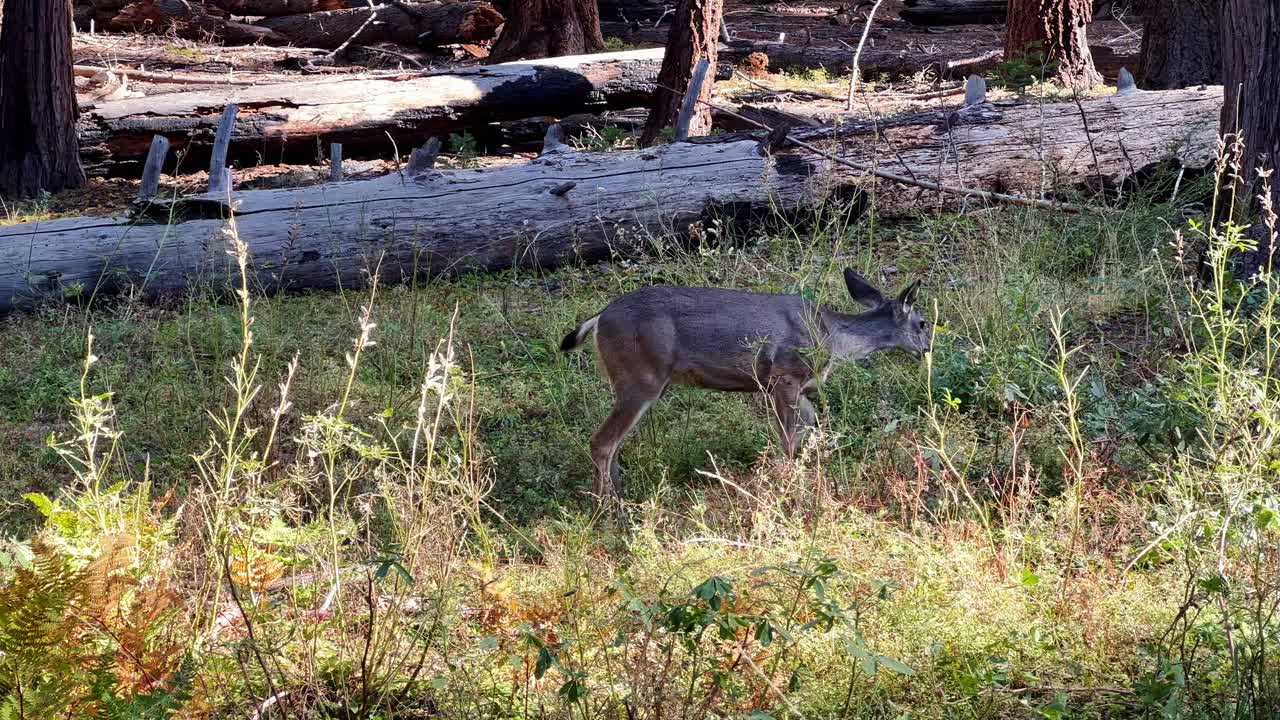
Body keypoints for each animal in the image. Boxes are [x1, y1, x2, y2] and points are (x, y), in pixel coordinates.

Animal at [559, 268, 931, 498]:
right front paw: (789, 488)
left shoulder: (799, 388)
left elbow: (810, 429)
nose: (927, 349)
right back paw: (611, 509)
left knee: (613, 443)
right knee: (602, 442)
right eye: (923, 322)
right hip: (640, 378)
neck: (832, 336)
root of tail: (599, 318)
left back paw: (620, 496)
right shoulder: (783, 377)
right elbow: (789, 441)